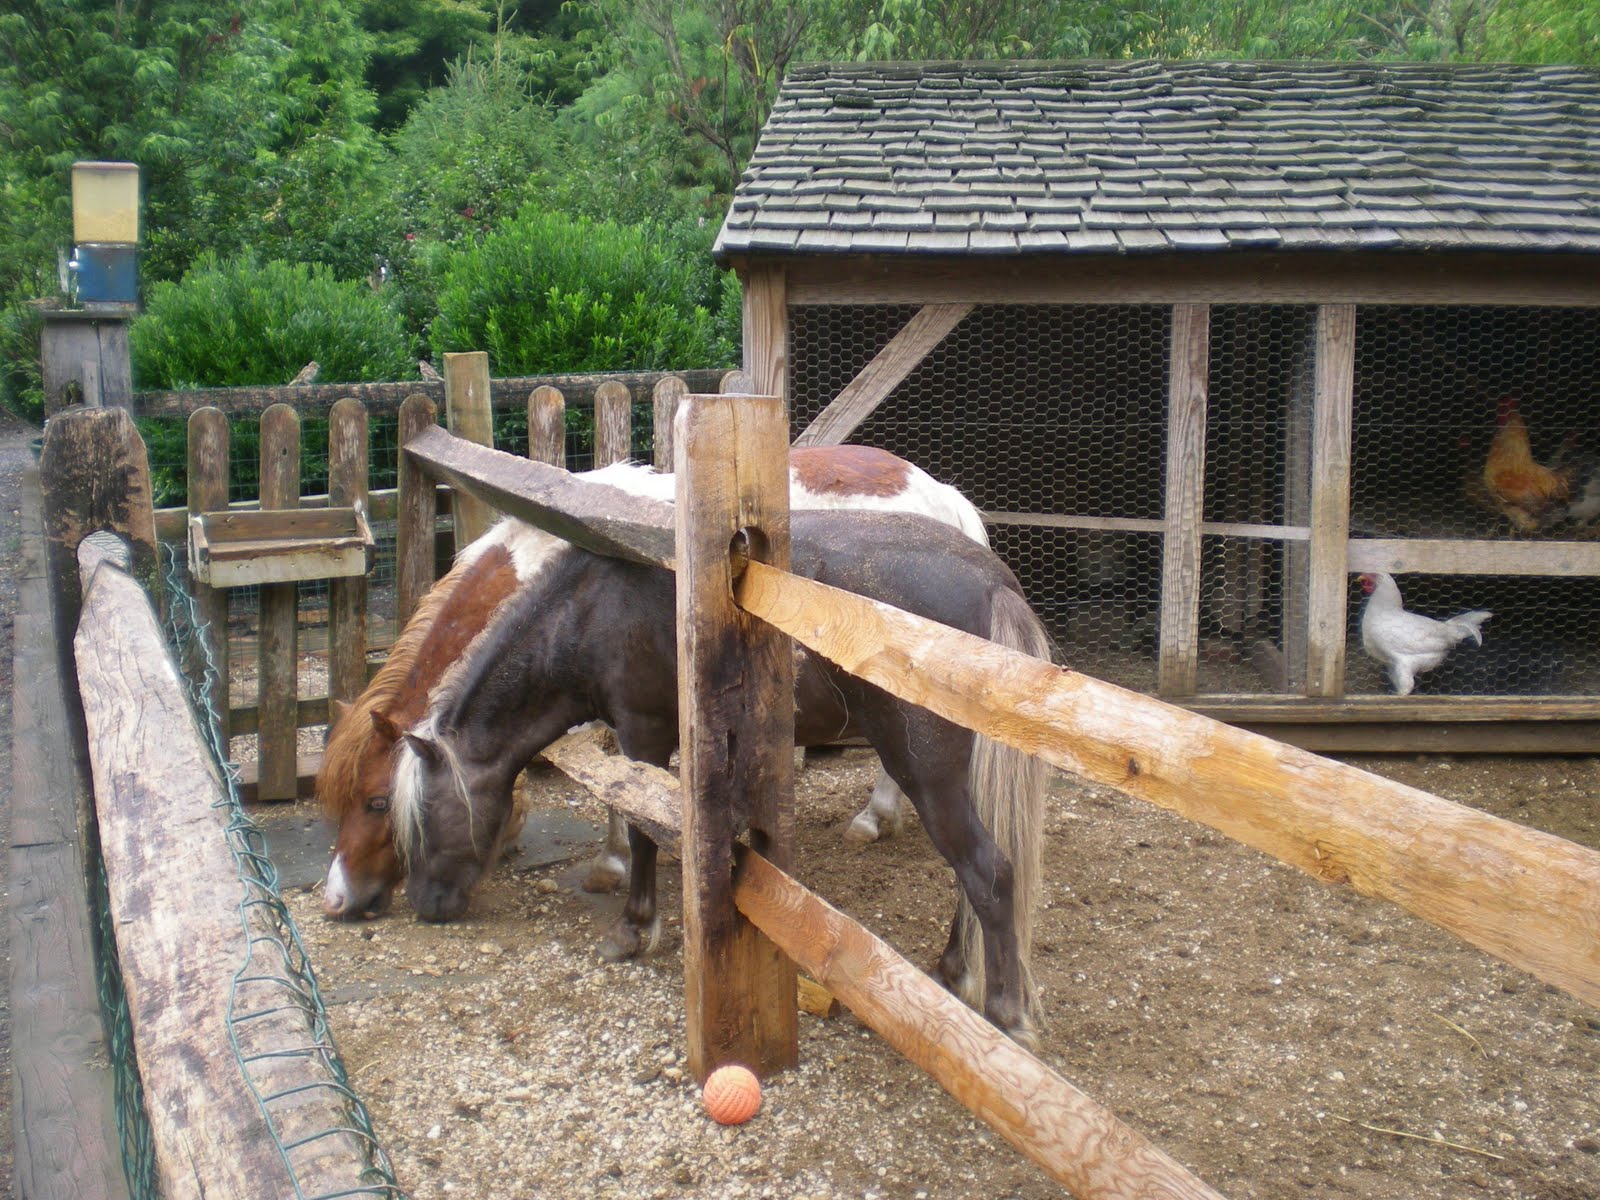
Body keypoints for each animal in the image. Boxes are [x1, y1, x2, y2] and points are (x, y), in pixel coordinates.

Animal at [315, 448, 985, 928]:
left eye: (378, 803)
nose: (336, 901)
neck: (539, 564)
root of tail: (945, 497)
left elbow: (617, 781)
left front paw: (613, 864)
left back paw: (874, 818)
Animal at [390, 502, 1049, 1049]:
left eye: (422, 819)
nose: (426, 905)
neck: (587, 606)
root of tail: (993, 580)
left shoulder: (645, 735)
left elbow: (641, 831)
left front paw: (634, 928)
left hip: (929, 777)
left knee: (989, 874)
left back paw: (1005, 1015)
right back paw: (952, 971)